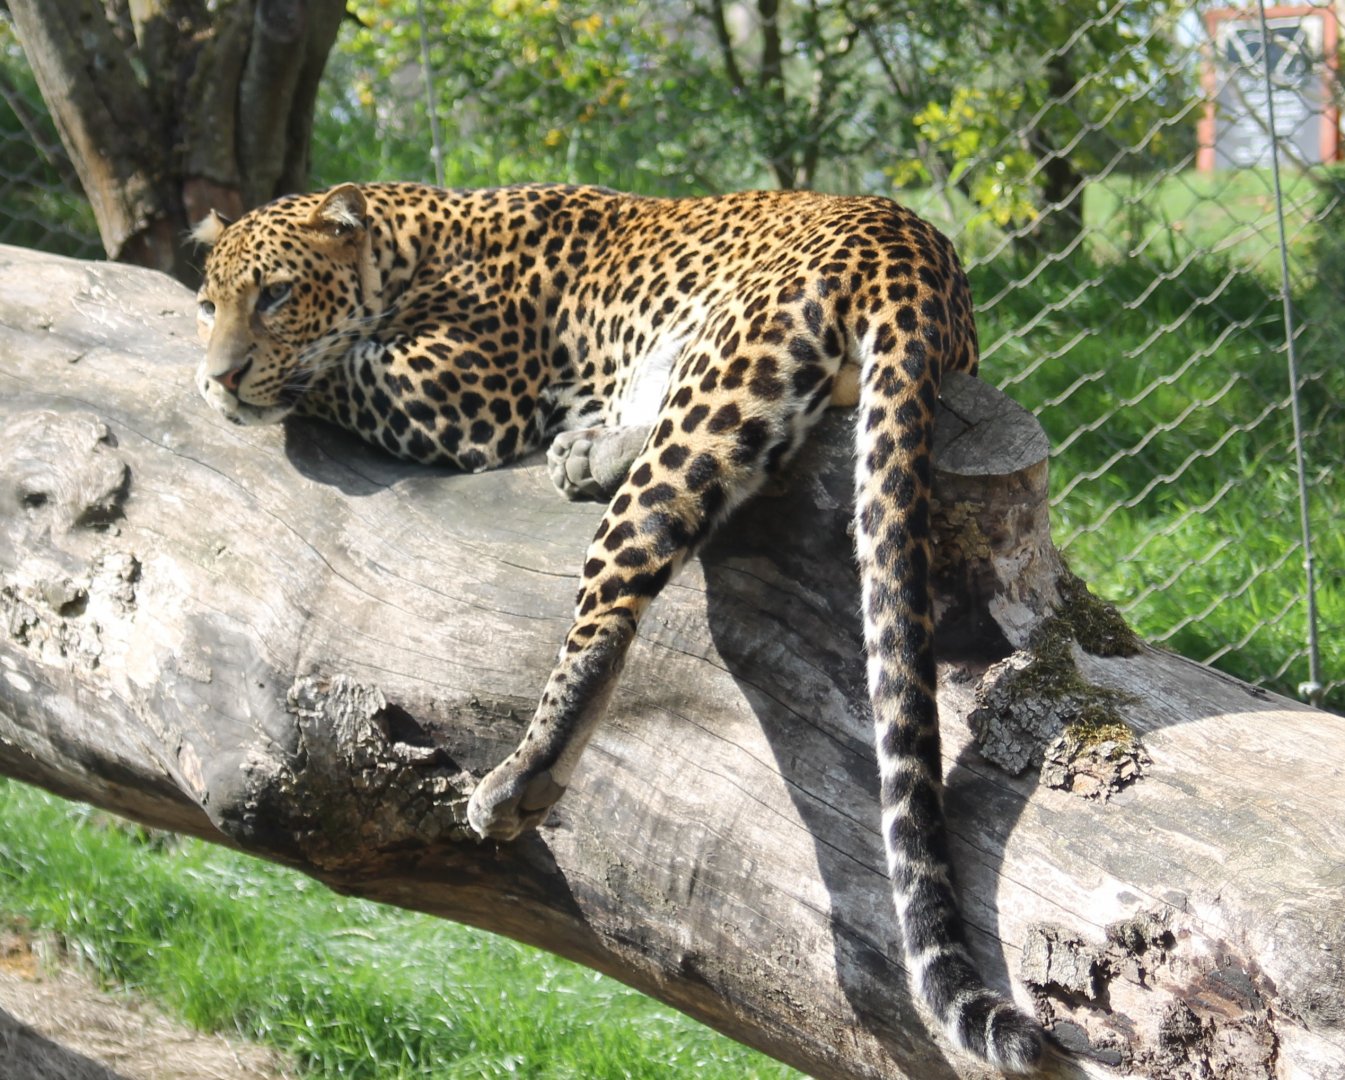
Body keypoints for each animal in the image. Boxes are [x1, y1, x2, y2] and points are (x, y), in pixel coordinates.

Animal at [192, 180, 1044, 1072]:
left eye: (276, 295)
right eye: (209, 302)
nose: (222, 378)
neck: (407, 242)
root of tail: (912, 247)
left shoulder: (458, 393)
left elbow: (336, 368)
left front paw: (245, 382)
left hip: (718, 381)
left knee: (611, 612)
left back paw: (519, 778)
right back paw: (590, 454)